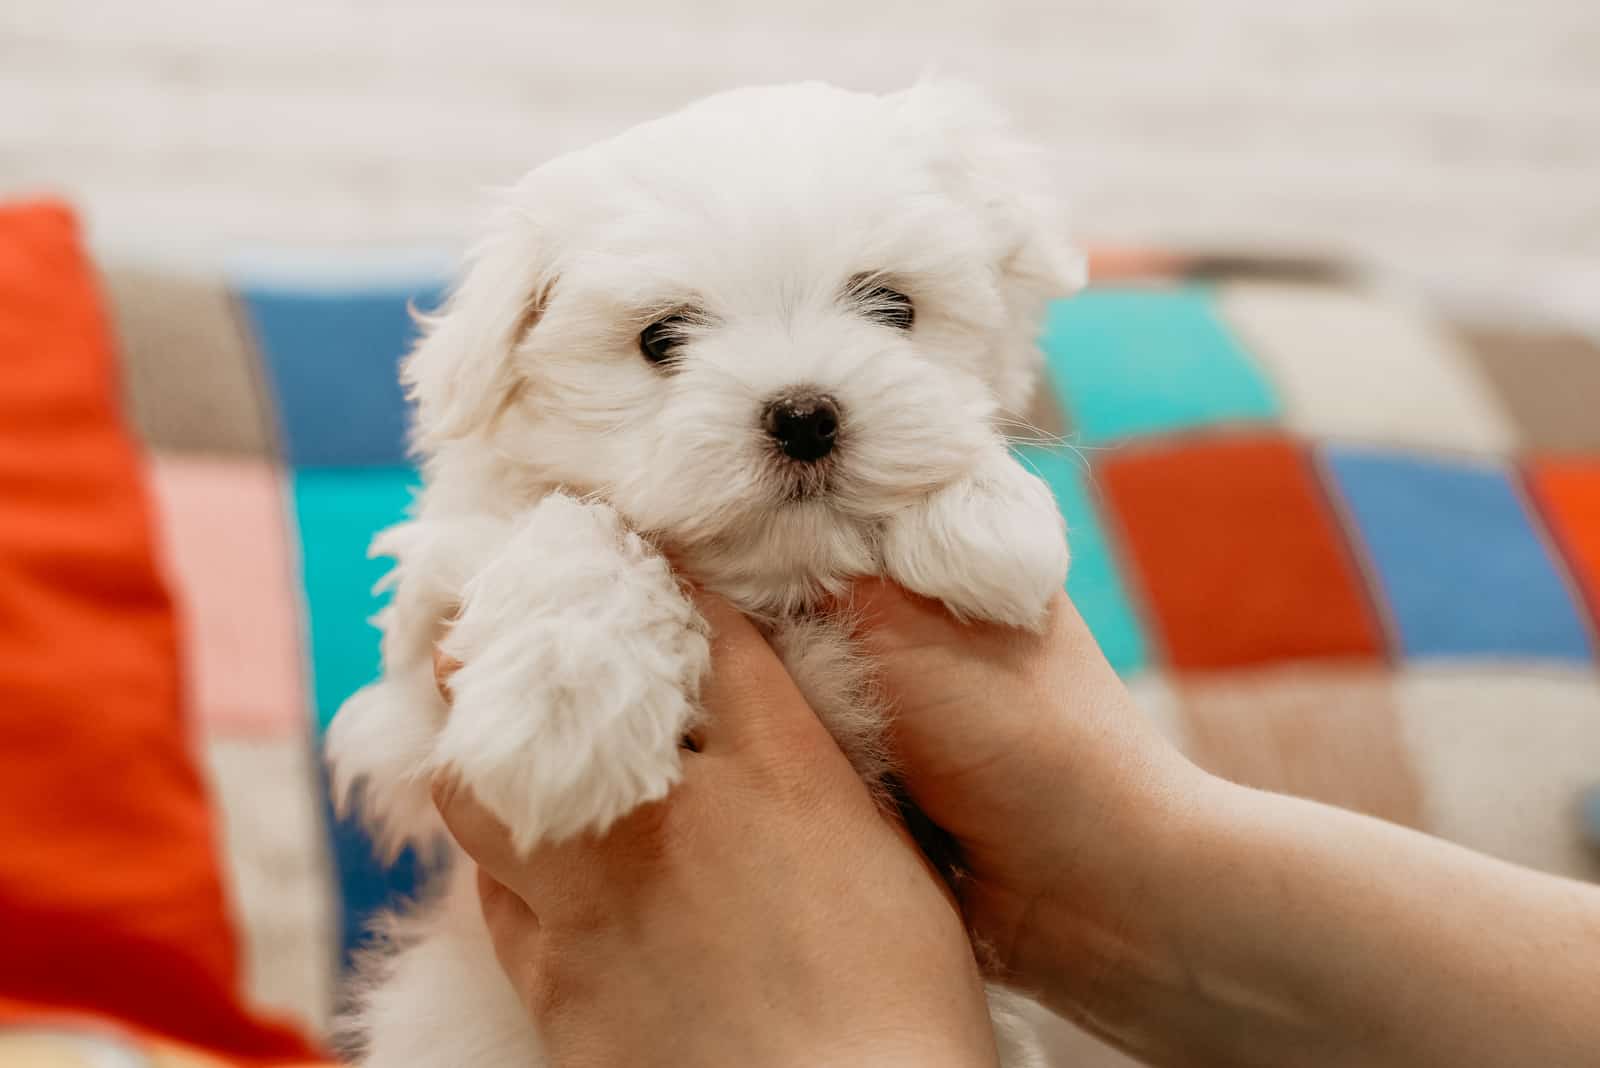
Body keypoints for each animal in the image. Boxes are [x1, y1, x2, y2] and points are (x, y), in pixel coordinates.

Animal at [332, 79, 1088, 1061]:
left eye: (892, 307)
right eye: (662, 339)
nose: (804, 414)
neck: (772, 588)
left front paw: (986, 512)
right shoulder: (410, 714)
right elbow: (575, 527)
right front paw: (562, 707)